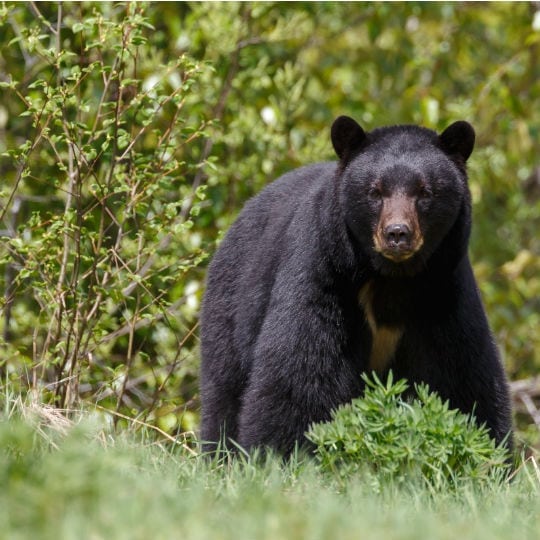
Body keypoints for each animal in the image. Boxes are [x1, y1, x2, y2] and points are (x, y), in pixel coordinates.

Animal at [200, 115, 512, 456]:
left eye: (424, 192)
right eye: (375, 192)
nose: (397, 233)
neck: (391, 277)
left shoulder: (442, 290)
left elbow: (461, 374)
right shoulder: (324, 273)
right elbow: (301, 371)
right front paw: (280, 454)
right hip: (232, 305)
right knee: (224, 389)